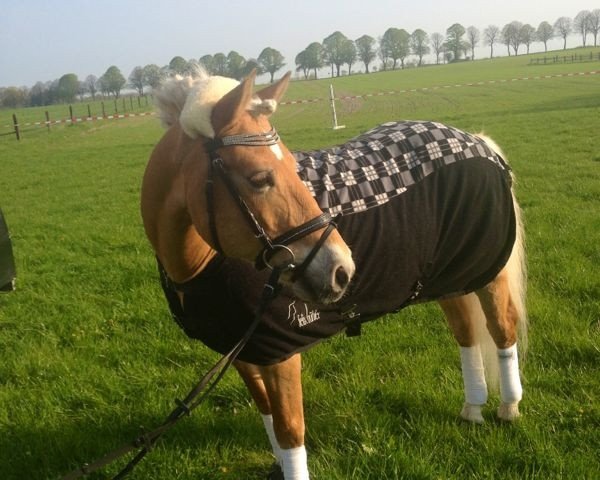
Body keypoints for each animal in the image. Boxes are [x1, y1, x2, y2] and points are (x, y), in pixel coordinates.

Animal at [141, 68, 524, 480]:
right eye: (260, 178)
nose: (343, 270)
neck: (200, 266)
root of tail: (478, 142)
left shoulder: (279, 355)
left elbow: (290, 430)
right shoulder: (244, 352)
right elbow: (268, 416)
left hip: (487, 272)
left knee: (502, 328)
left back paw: (508, 407)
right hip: (449, 278)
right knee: (466, 334)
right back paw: (473, 408)